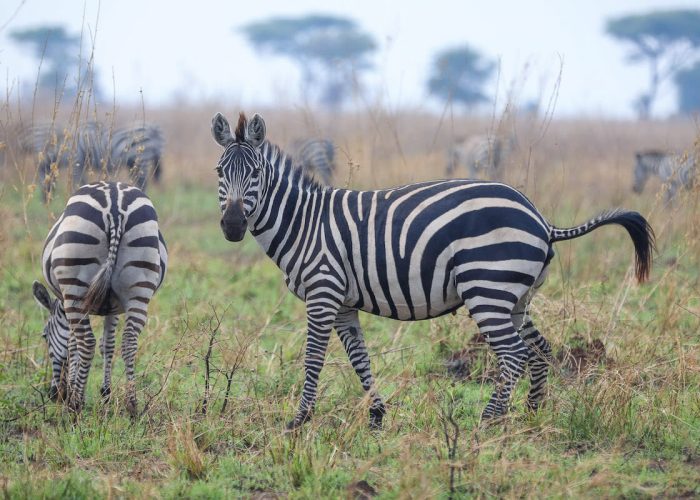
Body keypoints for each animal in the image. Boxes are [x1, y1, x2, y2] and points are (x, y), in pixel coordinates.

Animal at [33, 182, 169, 416]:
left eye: (44, 335)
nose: (55, 395)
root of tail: (114, 206)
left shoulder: (69, 304)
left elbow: (73, 346)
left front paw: (74, 391)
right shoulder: (113, 307)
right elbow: (108, 344)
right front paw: (106, 393)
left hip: (75, 287)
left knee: (87, 342)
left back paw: (75, 406)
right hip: (140, 287)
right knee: (129, 341)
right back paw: (132, 405)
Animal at [211, 112, 652, 430]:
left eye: (255, 174)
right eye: (219, 173)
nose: (232, 227)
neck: (303, 222)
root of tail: (541, 219)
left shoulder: (323, 293)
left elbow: (313, 359)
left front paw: (299, 421)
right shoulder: (344, 303)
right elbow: (360, 359)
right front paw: (377, 416)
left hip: (487, 288)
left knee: (514, 354)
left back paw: (488, 422)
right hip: (517, 299)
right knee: (540, 351)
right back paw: (531, 415)